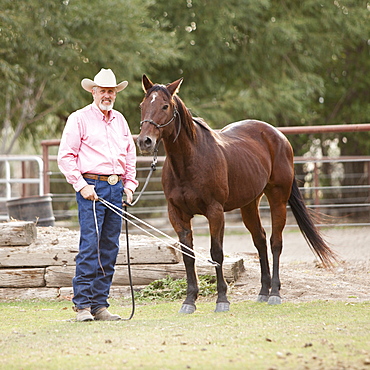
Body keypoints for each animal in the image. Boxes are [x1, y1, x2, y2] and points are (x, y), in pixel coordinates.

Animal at [137, 74, 338, 312]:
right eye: (142, 106)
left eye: (165, 106)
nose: (144, 141)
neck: (189, 161)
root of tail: (279, 136)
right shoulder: (177, 213)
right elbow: (188, 255)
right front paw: (189, 301)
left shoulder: (215, 212)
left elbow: (216, 253)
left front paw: (222, 299)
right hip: (249, 204)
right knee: (260, 240)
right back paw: (263, 291)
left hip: (278, 199)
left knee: (275, 242)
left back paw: (274, 293)